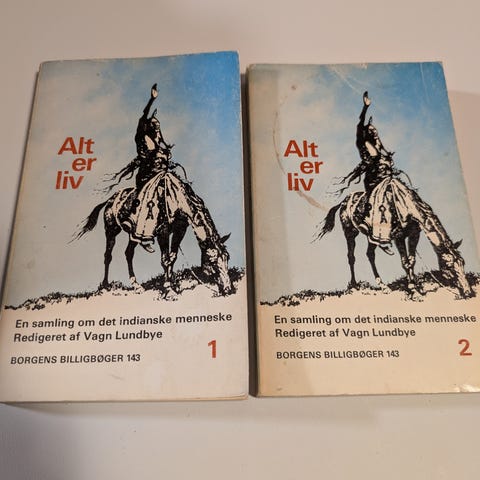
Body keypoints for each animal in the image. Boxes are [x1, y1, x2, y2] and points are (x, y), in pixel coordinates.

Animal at [75, 172, 233, 298]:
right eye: (212, 262)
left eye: (227, 258)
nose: (228, 289)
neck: (176, 200)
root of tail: (110, 200)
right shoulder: (162, 232)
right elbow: (165, 260)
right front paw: (169, 290)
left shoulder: (180, 230)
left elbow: (172, 258)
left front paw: (172, 284)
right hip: (111, 230)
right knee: (108, 255)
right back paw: (105, 285)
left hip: (133, 235)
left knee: (128, 253)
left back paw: (136, 286)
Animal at [316, 187, 474, 299]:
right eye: (449, 266)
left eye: (463, 263)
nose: (469, 292)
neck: (406, 207)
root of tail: (343, 202)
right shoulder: (399, 236)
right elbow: (405, 262)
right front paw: (413, 290)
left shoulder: (414, 234)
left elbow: (412, 260)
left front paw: (416, 286)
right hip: (350, 232)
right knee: (351, 256)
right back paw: (354, 285)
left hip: (371, 236)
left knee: (370, 254)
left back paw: (383, 286)